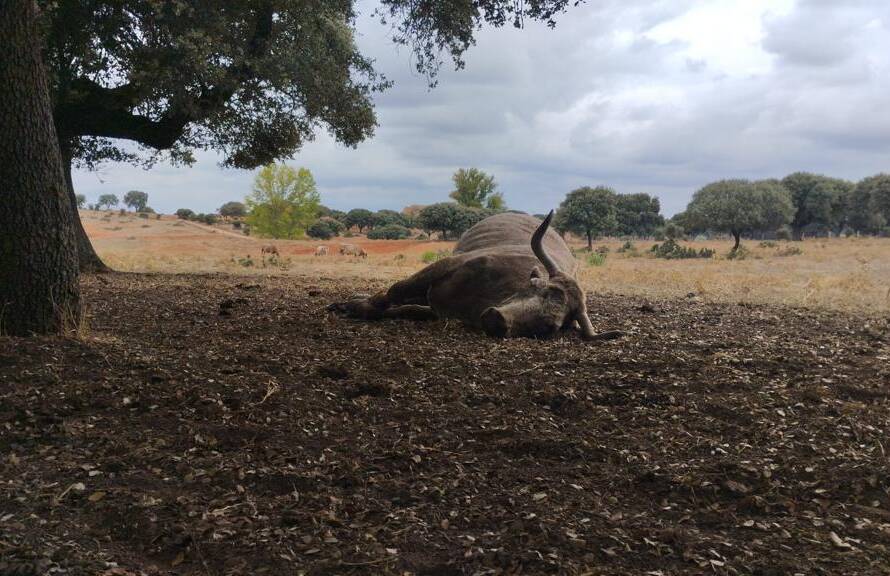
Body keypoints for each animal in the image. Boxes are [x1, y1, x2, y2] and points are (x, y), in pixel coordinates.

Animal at [328, 212, 622, 340]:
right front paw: (355, 305)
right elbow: (394, 291)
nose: (497, 319)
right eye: (538, 289)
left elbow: (405, 309)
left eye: (550, 327)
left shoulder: (436, 311)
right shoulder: (445, 265)